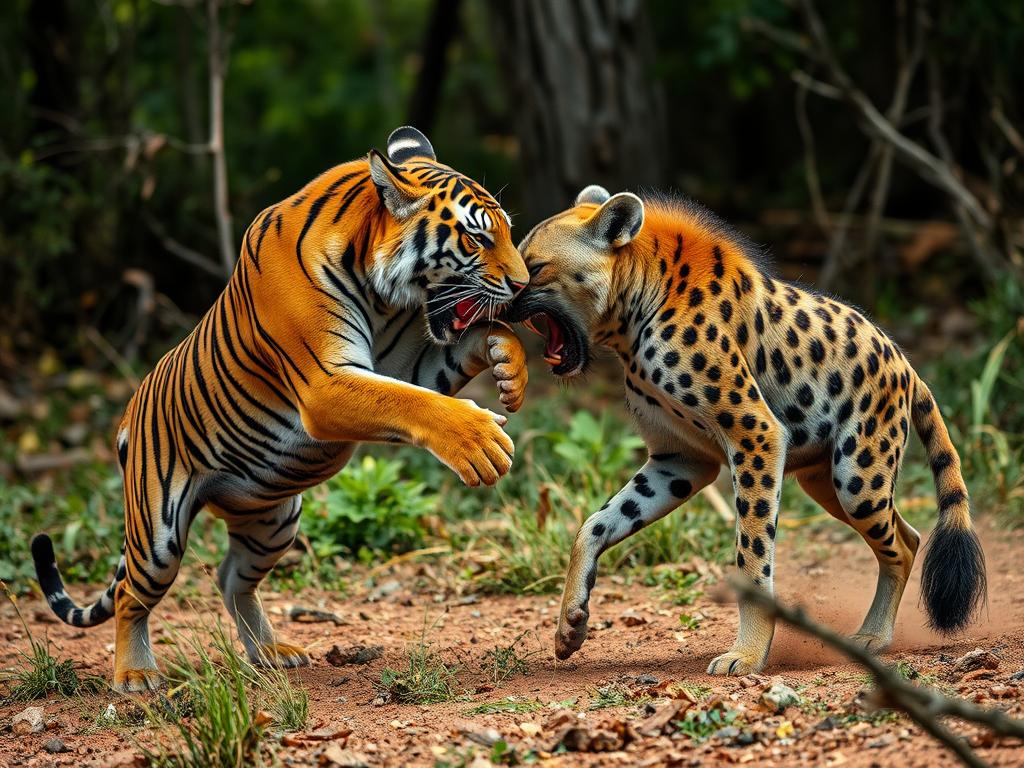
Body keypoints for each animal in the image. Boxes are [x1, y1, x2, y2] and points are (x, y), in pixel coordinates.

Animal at [31, 126, 531, 692]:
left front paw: (507, 363)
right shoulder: (326, 383)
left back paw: (270, 653)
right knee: (128, 594)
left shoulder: (406, 362)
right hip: (158, 534)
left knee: (231, 579)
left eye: (507, 232)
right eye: (477, 239)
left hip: (274, 520)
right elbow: (414, 403)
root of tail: (126, 418)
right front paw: (481, 441)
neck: (383, 295)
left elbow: (453, 361)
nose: (523, 284)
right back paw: (136, 674)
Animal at [507, 184, 986, 675]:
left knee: (902, 545)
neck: (635, 317)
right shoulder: (679, 461)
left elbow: (752, 557)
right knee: (909, 535)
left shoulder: (756, 435)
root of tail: (905, 363)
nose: (501, 301)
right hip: (826, 483)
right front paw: (570, 623)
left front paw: (748, 654)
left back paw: (872, 637)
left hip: (858, 480)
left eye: (536, 268)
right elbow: (594, 524)